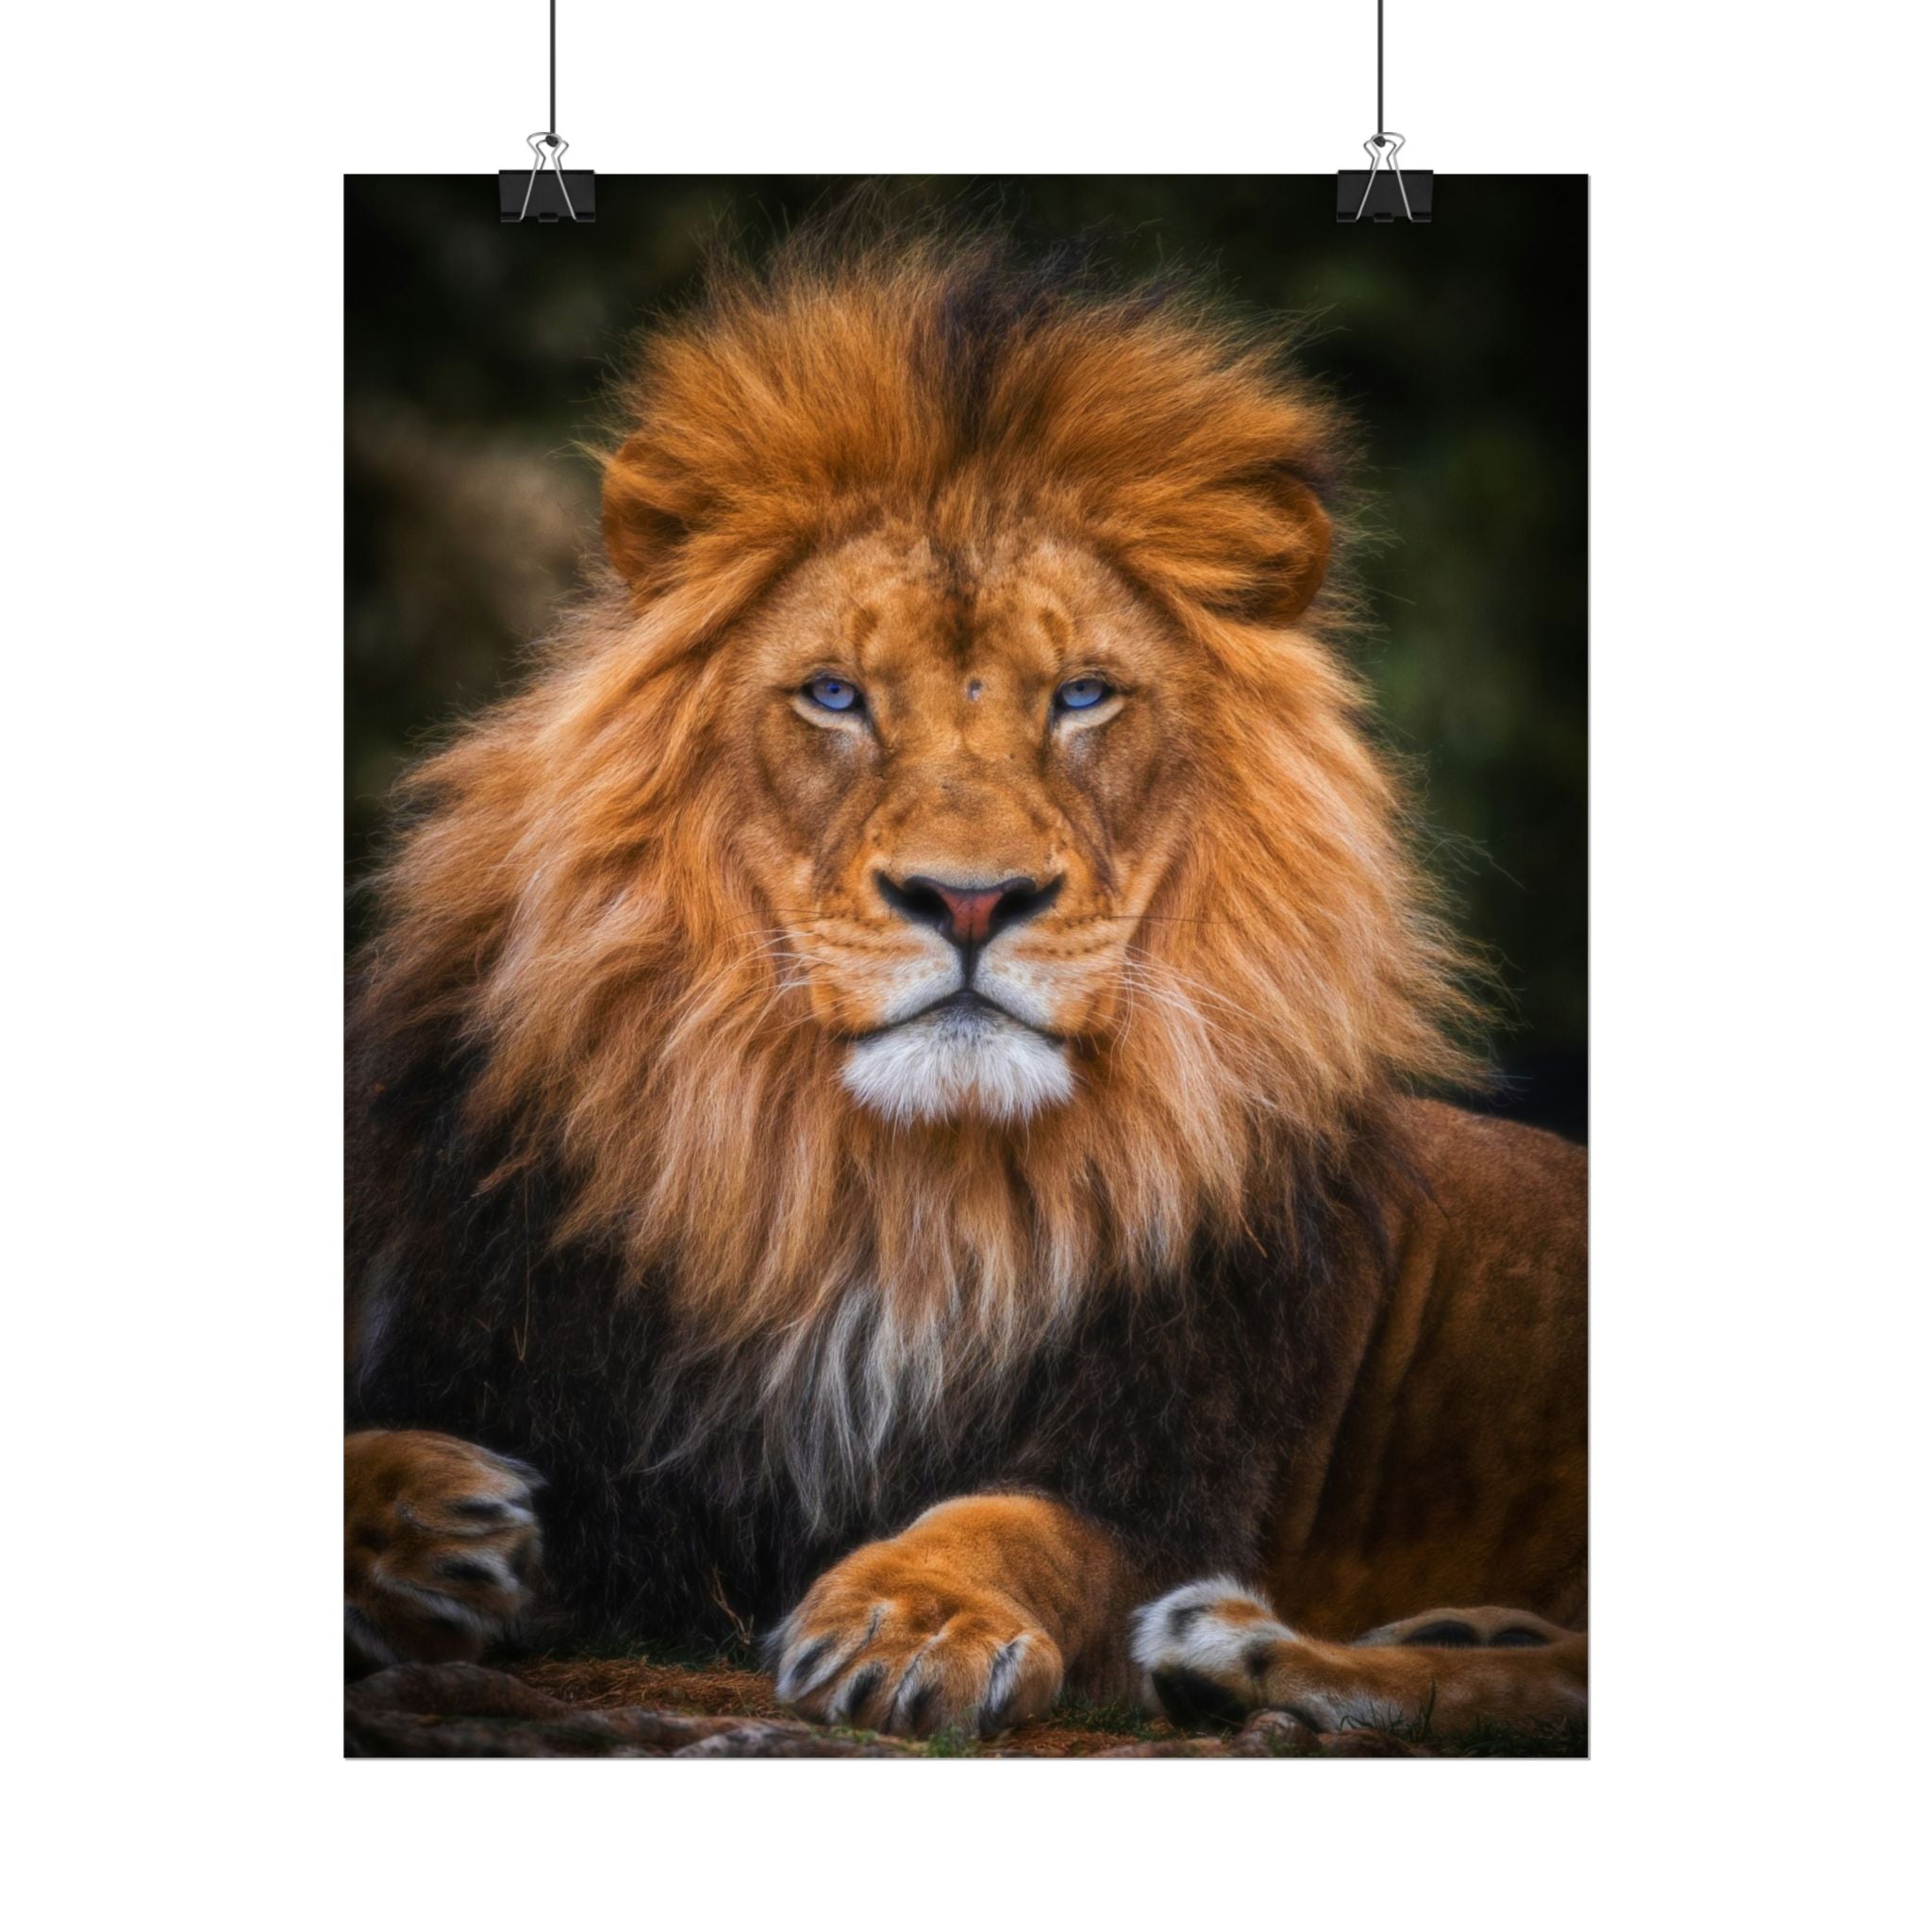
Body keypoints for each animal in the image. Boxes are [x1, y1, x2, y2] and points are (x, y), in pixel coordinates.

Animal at [345, 227, 1587, 1744]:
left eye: (1083, 696)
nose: (972, 899)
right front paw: (428, 1521)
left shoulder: (1166, 1468)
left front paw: (911, 1616)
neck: (885, 1197)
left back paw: (1243, 1650)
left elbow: (1017, 1522)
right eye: (833, 694)